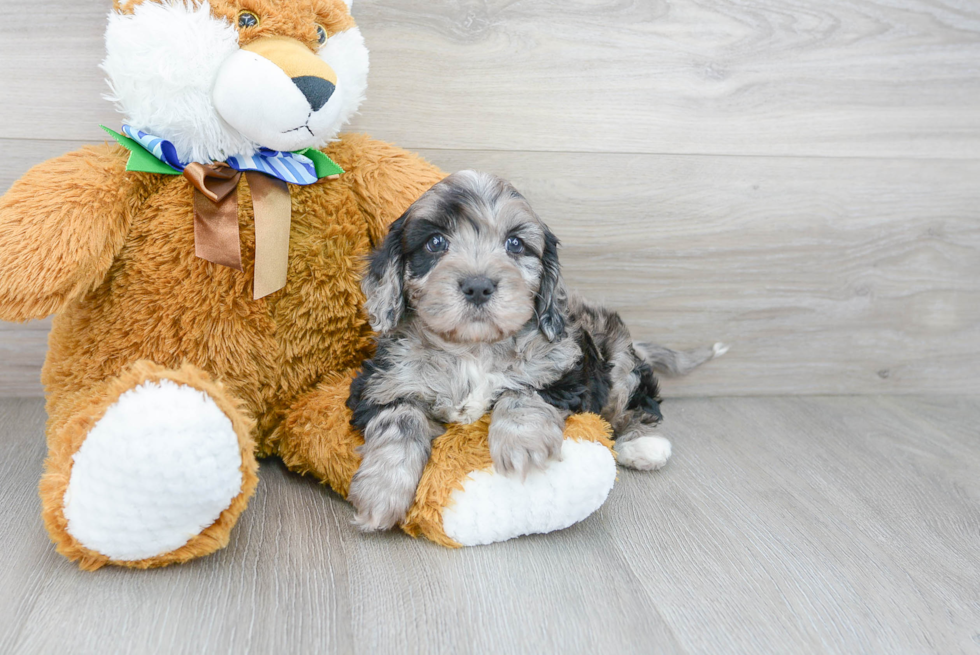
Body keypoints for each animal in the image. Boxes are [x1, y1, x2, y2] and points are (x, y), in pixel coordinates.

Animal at [344, 172, 720, 532]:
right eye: (435, 242)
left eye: (515, 244)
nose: (478, 286)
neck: (473, 348)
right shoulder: (381, 383)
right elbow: (400, 421)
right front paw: (381, 491)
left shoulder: (562, 373)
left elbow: (523, 393)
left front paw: (523, 446)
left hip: (618, 358)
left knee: (636, 402)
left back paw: (643, 444)